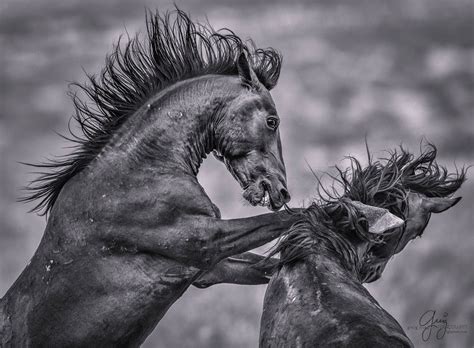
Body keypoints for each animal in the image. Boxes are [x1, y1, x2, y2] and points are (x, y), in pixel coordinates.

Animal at [0, 9, 300, 346]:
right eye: (272, 121)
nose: (281, 191)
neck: (142, 169)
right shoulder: (204, 240)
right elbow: (284, 219)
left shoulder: (209, 268)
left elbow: (268, 263)